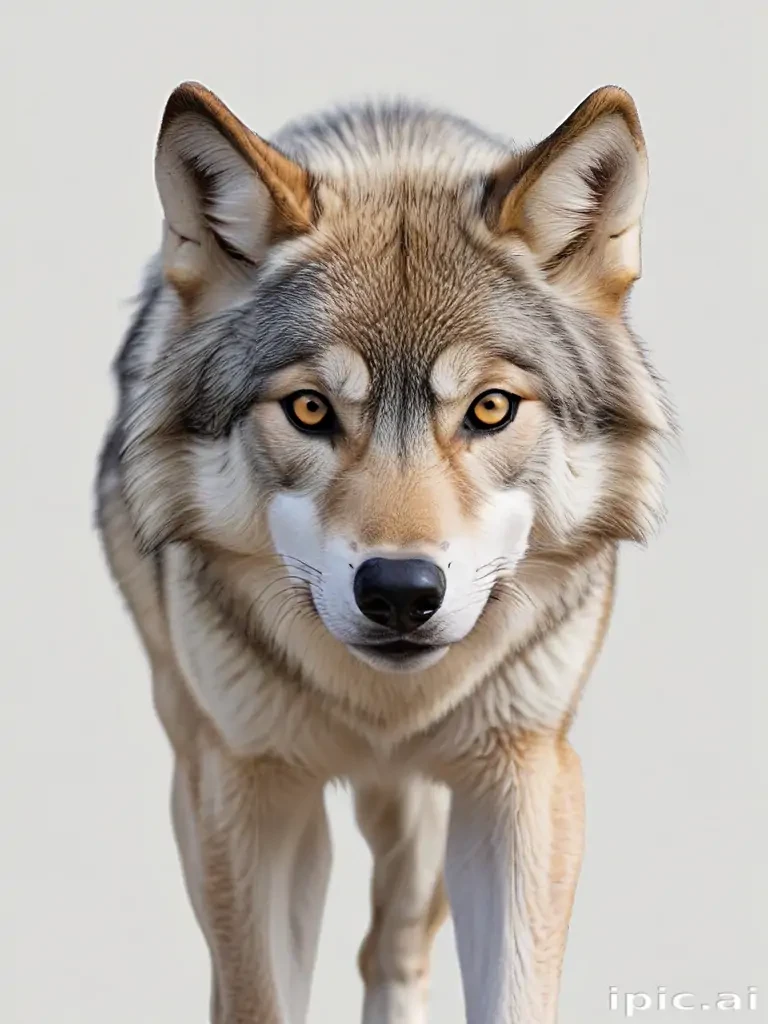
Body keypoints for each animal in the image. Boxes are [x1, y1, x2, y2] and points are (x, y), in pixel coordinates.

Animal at [96, 80, 670, 1024]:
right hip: (198, 769)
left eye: (490, 409)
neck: (384, 708)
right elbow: (255, 994)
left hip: (424, 813)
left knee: (392, 943)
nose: (401, 590)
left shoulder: (524, 773)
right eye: (310, 410)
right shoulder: (249, 787)